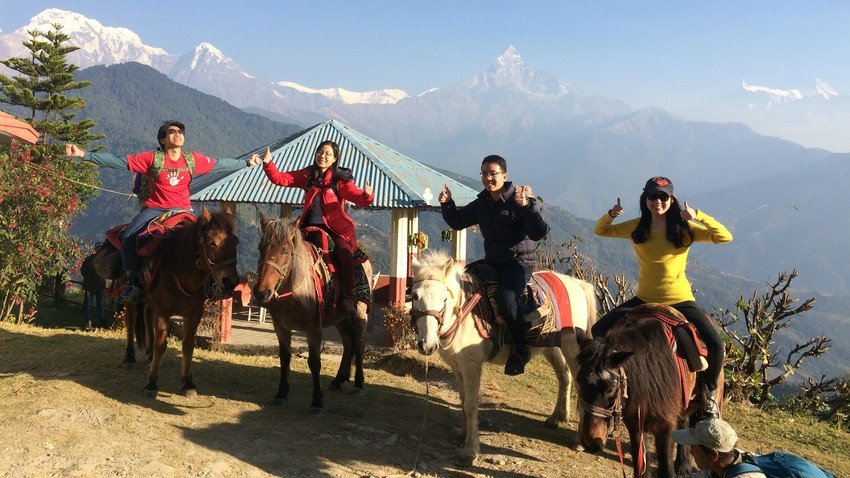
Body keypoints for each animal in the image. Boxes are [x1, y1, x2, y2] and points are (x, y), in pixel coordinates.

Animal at [252, 218, 372, 412]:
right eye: (260, 247)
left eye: (286, 251)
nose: (261, 292)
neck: (295, 289)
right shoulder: (280, 326)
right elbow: (285, 358)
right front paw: (281, 394)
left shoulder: (313, 328)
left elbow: (315, 362)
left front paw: (317, 401)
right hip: (340, 318)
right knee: (348, 343)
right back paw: (338, 380)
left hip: (360, 313)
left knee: (359, 344)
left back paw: (359, 384)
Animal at [410, 250, 596, 466]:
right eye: (415, 296)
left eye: (444, 299)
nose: (427, 345)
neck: (463, 313)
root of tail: (578, 284)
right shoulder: (457, 366)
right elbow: (463, 400)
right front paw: (462, 435)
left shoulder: (472, 366)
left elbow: (471, 405)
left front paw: (470, 451)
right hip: (552, 346)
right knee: (564, 376)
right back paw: (556, 419)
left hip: (572, 347)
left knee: (581, 385)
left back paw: (579, 441)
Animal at [576, 314, 704, 478]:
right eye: (579, 381)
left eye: (610, 389)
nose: (590, 443)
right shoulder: (635, 425)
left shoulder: (666, 425)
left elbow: (666, 468)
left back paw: (683, 466)